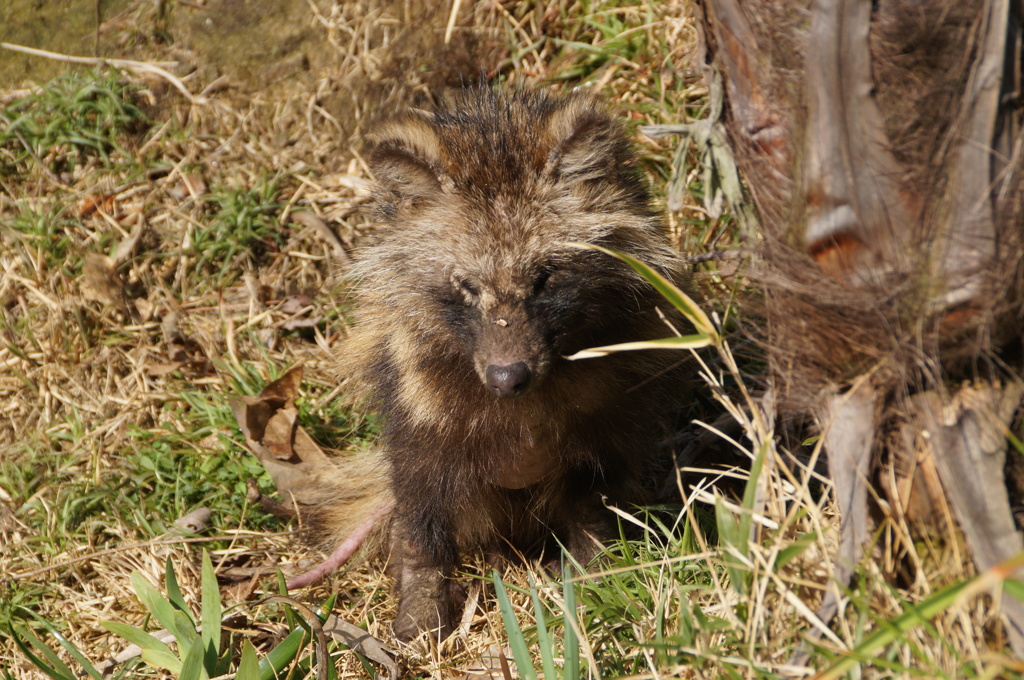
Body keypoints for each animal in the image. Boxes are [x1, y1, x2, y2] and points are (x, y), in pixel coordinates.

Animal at [319, 87, 688, 639]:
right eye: (467, 286)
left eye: (544, 278)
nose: (507, 378)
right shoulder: (419, 422)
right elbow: (421, 525)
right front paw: (420, 612)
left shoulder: (605, 425)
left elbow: (594, 513)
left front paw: (594, 579)